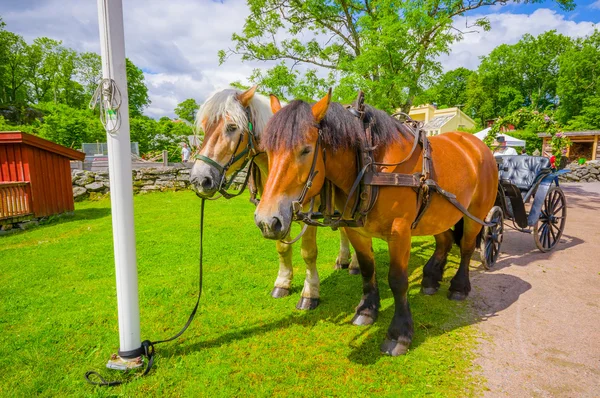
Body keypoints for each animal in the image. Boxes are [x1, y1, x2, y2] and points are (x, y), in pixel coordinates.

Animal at [191, 86, 360, 310]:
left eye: (232, 127)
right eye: (204, 127)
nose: (199, 179)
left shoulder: (305, 216)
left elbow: (308, 252)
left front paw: (310, 292)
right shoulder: (273, 216)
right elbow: (282, 247)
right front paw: (283, 282)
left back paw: (355, 264)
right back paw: (343, 259)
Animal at [253, 92, 496, 354]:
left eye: (306, 150)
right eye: (268, 151)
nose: (267, 221)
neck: (370, 164)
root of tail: (476, 143)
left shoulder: (399, 232)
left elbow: (398, 280)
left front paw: (399, 333)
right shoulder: (357, 230)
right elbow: (367, 269)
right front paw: (367, 310)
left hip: (475, 213)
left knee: (466, 247)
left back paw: (459, 287)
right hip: (436, 215)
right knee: (445, 240)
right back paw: (431, 278)